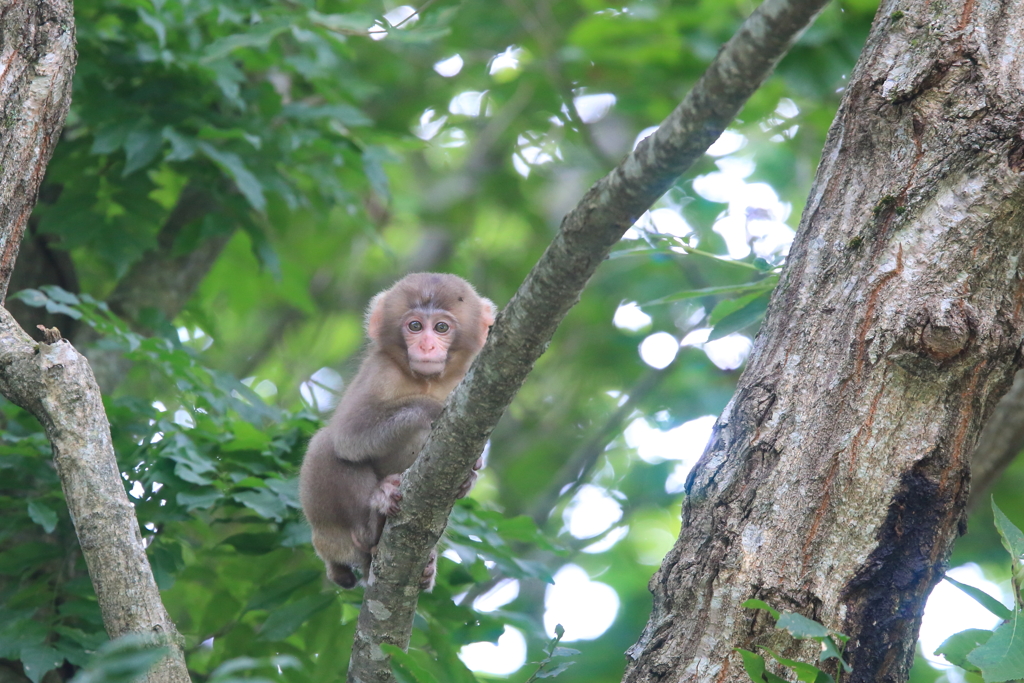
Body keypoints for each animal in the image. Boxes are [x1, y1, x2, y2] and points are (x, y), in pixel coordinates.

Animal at [299, 272, 495, 589]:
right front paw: (432, 408)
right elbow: (348, 436)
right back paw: (371, 523)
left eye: (441, 327)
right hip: (332, 536)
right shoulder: (380, 371)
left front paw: (470, 475)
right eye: (415, 326)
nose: (426, 346)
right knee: (325, 443)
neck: (427, 380)